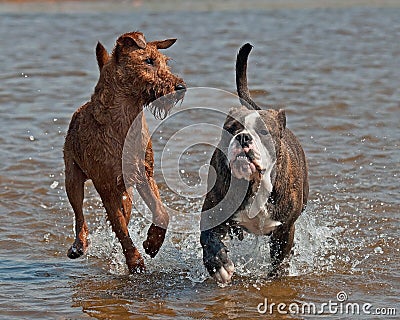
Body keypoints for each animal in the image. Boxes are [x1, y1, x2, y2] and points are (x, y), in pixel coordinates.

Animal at [64, 31, 186, 272]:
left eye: (165, 61)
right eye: (148, 61)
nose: (180, 87)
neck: (125, 121)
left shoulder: (144, 174)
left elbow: (161, 212)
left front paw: (152, 243)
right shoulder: (106, 185)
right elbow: (120, 227)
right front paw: (135, 262)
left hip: (126, 194)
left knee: (124, 214)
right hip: (71, 177)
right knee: (79, 214)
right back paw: (78, 245)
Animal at [200, 43, 310, 284]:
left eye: (263, 131)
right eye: (231, 128)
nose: (243, 137)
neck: (255, 182)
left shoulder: (284, 230)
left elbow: (280, 260)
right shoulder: (213, 213)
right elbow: (208, 239)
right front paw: (219, 264)